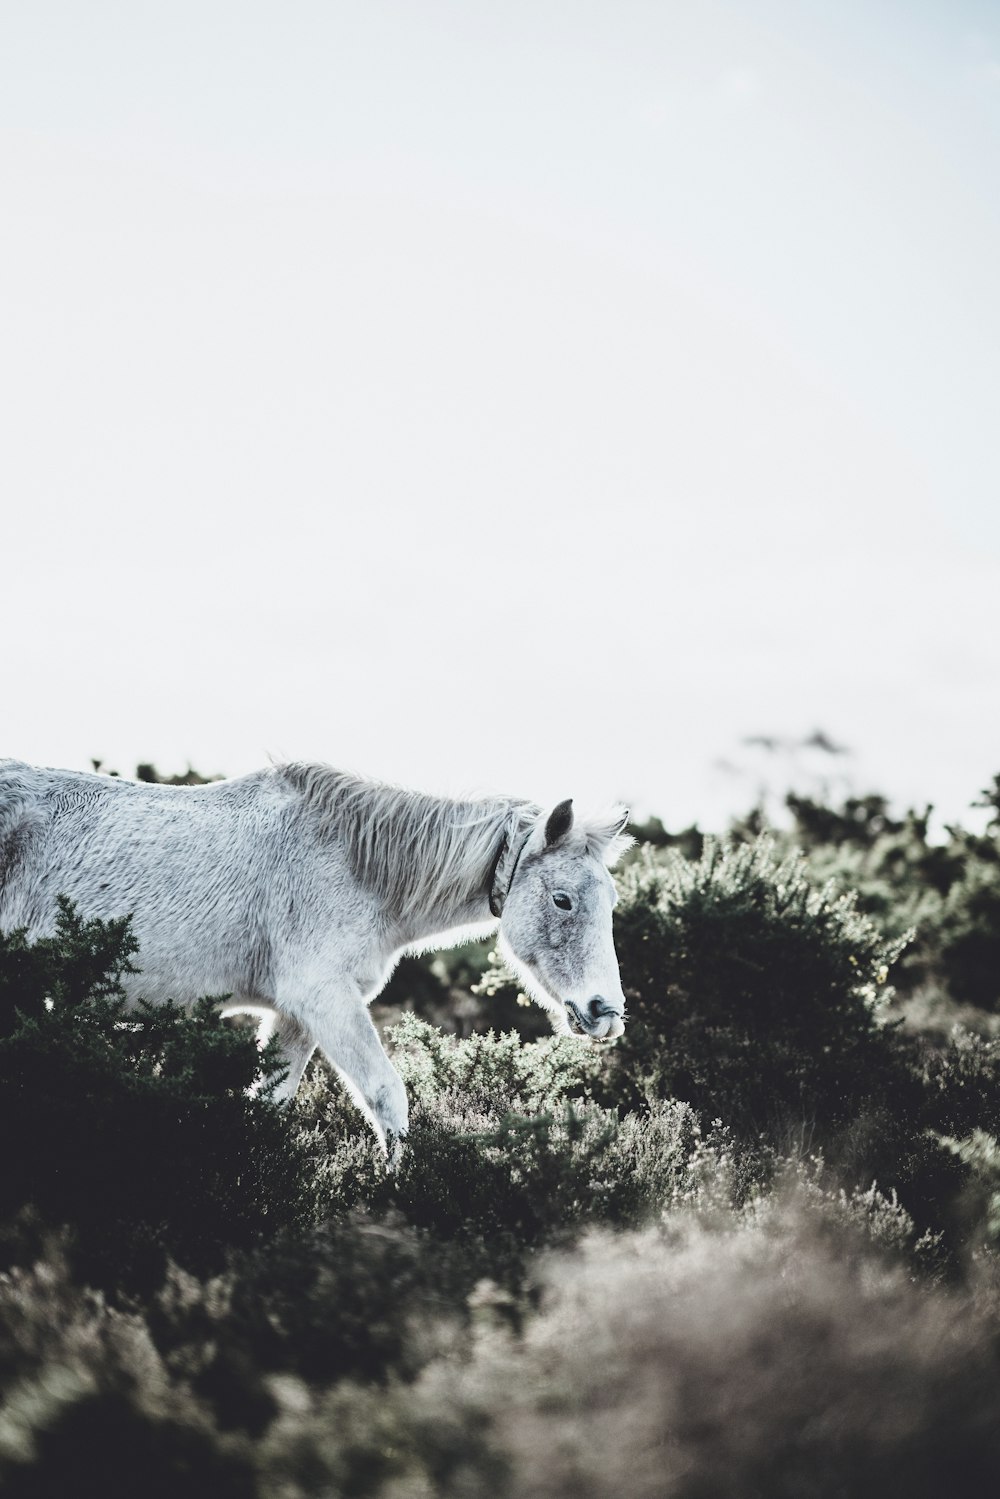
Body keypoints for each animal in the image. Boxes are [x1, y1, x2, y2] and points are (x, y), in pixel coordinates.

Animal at [0, 761, 629, 1157]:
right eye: (563, 899)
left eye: (613, 901)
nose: (606, 1012)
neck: (356, 865)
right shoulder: (325, 1000)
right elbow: (386, 1096)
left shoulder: (297, 1016)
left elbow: (268, 1105)